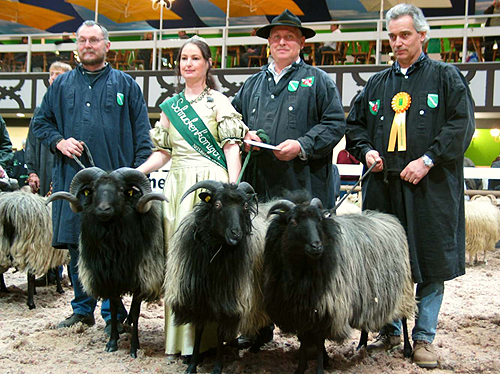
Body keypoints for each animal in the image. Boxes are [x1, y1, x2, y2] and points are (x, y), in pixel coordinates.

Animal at [46, 168, 166, 358]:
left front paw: (134, 348)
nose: (103, 209)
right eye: (93, 190)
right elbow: (114, 307)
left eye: (121, 190)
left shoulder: (142, 279)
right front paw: (112, 342)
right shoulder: (109, 278)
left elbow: (137, 312)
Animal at [165, 180, 270, 374]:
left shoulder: (228, 303)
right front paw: (192, 365)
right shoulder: (199, 300)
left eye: (245, 206)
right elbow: (199, 331)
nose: (236, 234)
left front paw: (217, 367)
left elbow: (220, 334)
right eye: (217, 204)